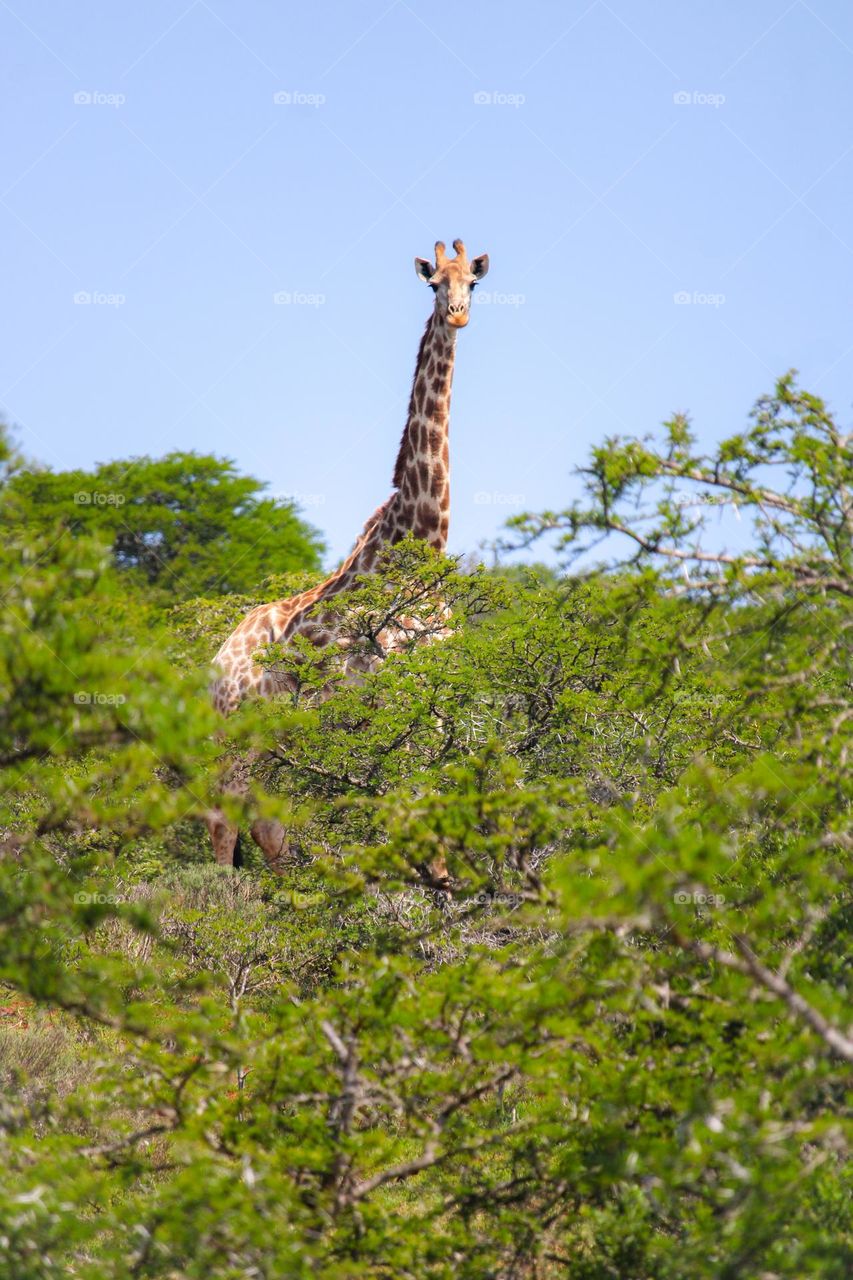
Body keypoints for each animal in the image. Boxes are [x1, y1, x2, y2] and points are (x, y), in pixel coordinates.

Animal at [205, 238, 489, 873]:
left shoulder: (440, 700)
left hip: (282, 740)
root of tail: (214, 664)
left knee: (268, 825)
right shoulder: (393, 698)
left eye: (474, 282)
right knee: (222, 822)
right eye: (434, 283)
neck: (420, 542)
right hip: (237, 731)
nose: (458, 314)